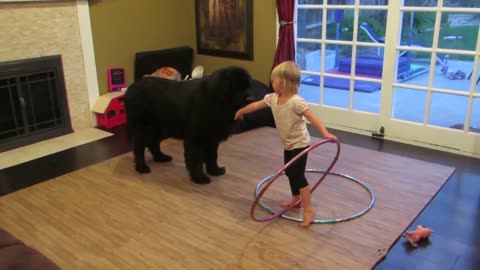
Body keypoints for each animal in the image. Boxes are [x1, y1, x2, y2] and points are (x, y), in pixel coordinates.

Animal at [124, 66, 253, 184]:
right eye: (237, 87)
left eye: (248, 86)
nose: (251, 98)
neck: (215, 100)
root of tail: (130, 89)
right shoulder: (196, 139)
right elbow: (196, 159)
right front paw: (199, 178)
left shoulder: (212, 138)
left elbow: (212, 156)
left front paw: (214, 170)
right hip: (144, 128)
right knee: (139, 148)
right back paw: (142, 167)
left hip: (159, 128)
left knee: (153, 144)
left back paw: (161, 157)